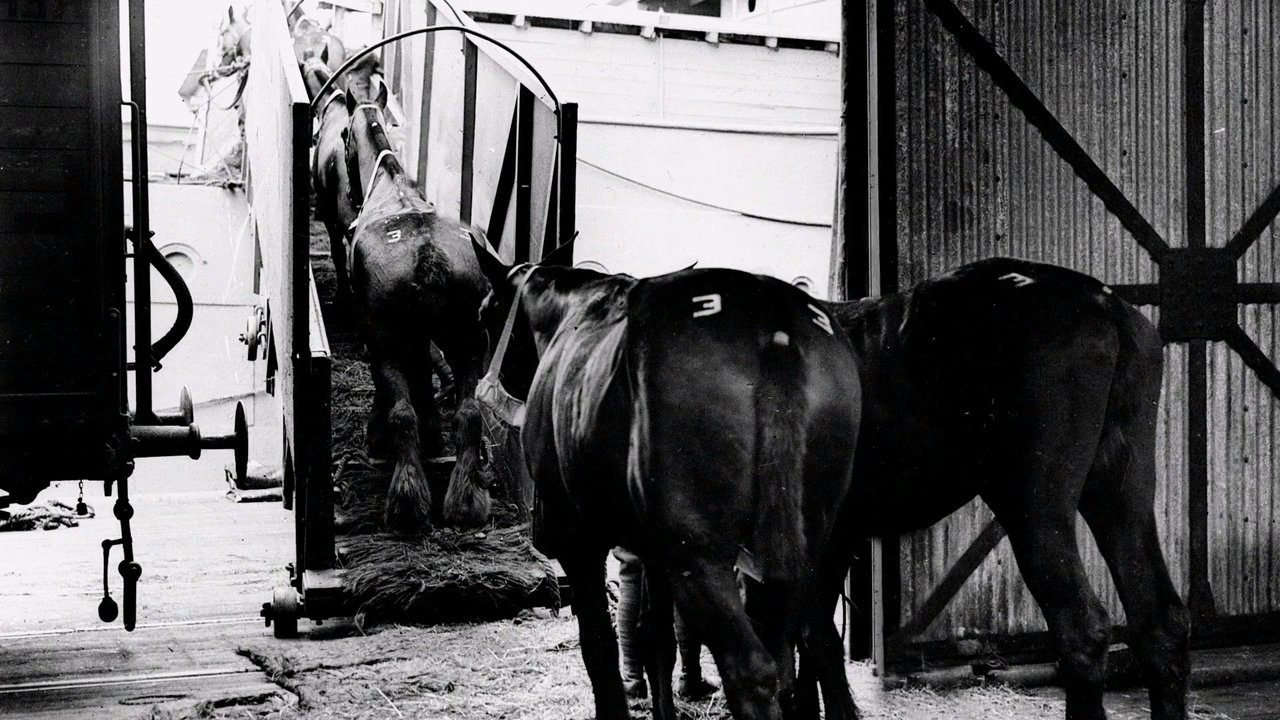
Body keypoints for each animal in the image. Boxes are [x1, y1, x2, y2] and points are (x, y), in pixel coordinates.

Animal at [343, 76, 491, 532]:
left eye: (343, 136)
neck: (391, 184)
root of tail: (428, 250)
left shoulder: (380, 334)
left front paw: (379, 438)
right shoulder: (425, 336)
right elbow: (426, 373)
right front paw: (434, 435)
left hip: (387, 340)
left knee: (401, 412)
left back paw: (407, 502)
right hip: (468, 340)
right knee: (468, 413)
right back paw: (466, 501)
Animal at [470, 241, 862, 720]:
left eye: (483, 315)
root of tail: (774, 327)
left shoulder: (577, 542)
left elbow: (598, 648)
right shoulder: (653, 550)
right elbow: (655, 639)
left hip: (700, 554)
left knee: (752, 671)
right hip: (807, 543)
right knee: (803, 648)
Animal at [799, 257, 1188, 720]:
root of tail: (1104, 303)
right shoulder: (834, 538)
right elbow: (812, 637)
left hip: (1033, 506)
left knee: (1082, 626)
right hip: (1122, 488)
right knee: (1160, 621)